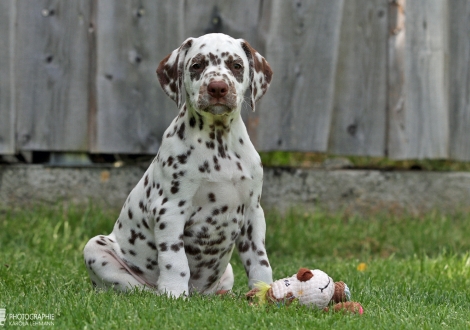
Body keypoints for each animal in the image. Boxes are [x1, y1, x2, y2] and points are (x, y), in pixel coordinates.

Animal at [84, 32, 274, 296]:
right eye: (197, 65)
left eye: (236, 65)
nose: (217, 87)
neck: (219, 144)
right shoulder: (170, 209)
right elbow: (175, 259)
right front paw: (174, 294)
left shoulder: (253, 212)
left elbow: (259, 260)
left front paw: (264, 290)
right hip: (95, 248)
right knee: (131, 286)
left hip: (226, 273)